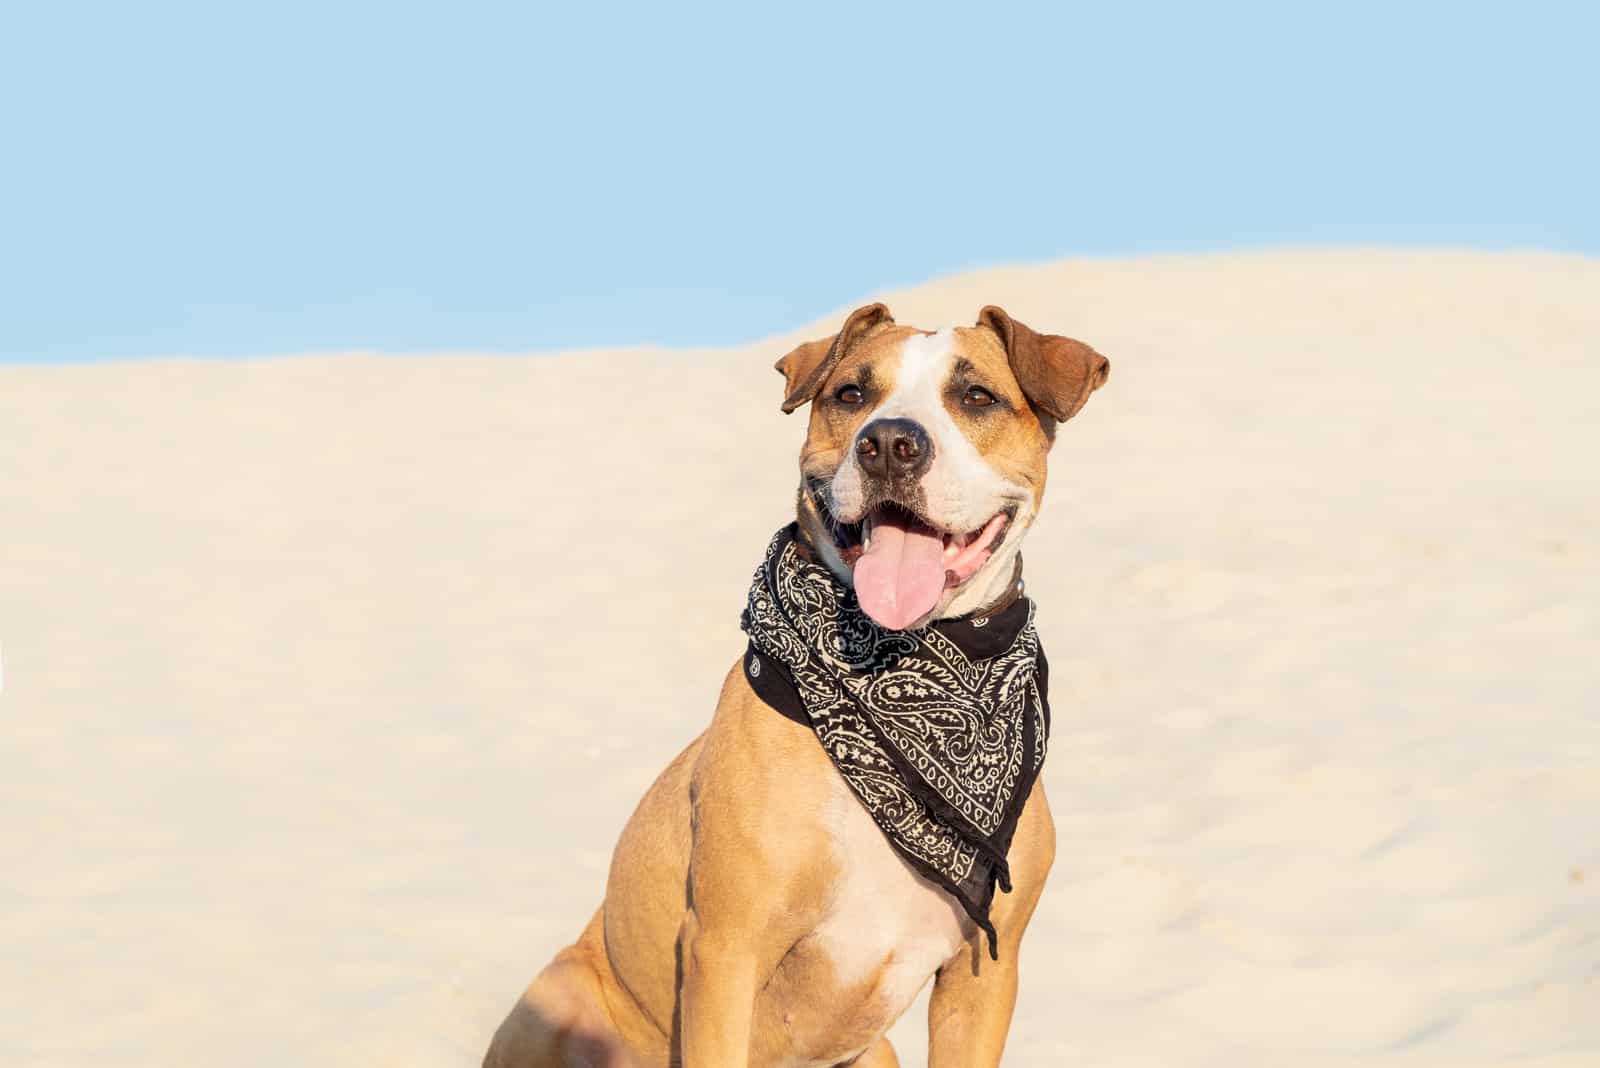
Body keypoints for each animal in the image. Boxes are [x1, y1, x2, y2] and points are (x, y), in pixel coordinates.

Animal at [486, 302, 1107, 1068]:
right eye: (851, 393)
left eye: (976, 397)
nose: (890, 443)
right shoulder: (724, 951)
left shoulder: (984, 973)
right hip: (563, 996)